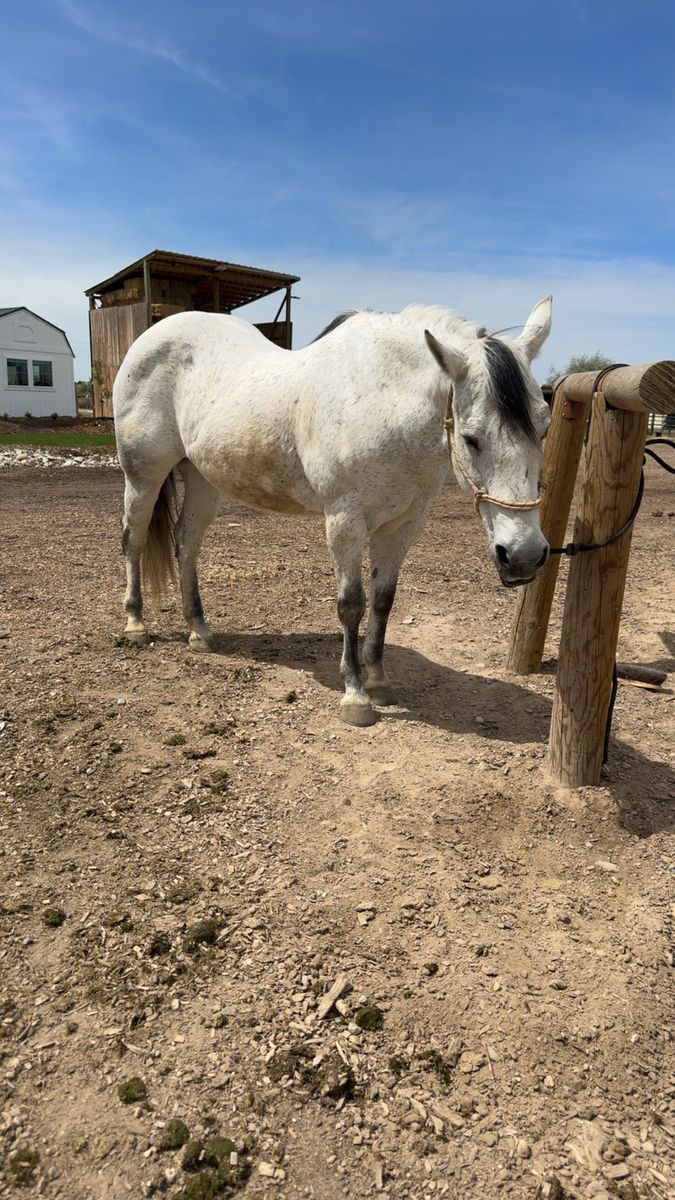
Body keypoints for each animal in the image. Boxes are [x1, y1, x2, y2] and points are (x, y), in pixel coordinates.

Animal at [113, 297, 553, 726]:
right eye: (470, 437)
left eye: (544, 429)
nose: (523, 556)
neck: (384, 399)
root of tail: (149, 339)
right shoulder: (345, 522)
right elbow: (351, 604)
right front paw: (356, 697)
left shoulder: (403, 525)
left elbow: (383, 600)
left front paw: (379, 681)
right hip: (143, 476)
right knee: (133, 539)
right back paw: (136, 625)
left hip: (203, 480)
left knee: (186, 546)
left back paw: (200, 633)